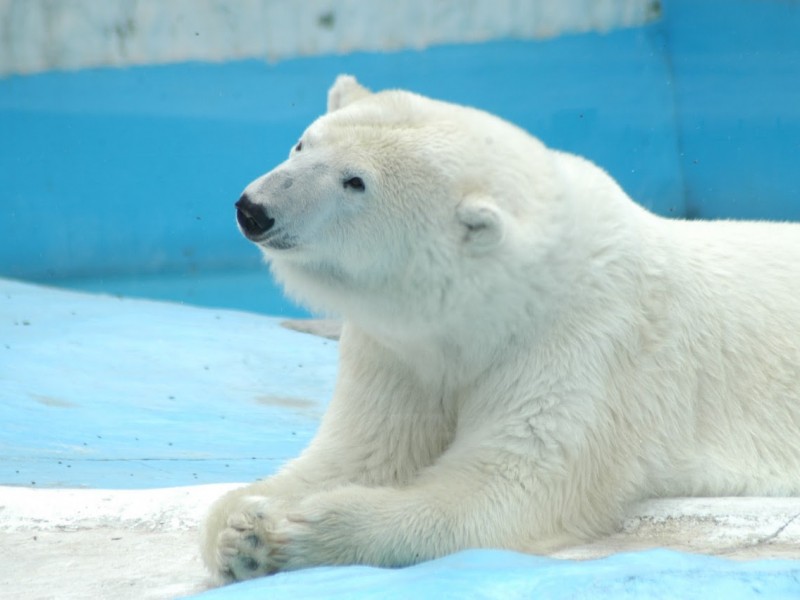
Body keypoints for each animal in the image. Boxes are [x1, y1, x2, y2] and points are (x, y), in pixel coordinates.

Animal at [202, 74, 800, 580]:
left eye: (356, 182)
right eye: (303, 145)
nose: (255, 209)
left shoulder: (585, 341)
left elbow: (508, 484)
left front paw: (287, 534)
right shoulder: (399, 350)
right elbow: (365, 451)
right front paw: (240, 525)